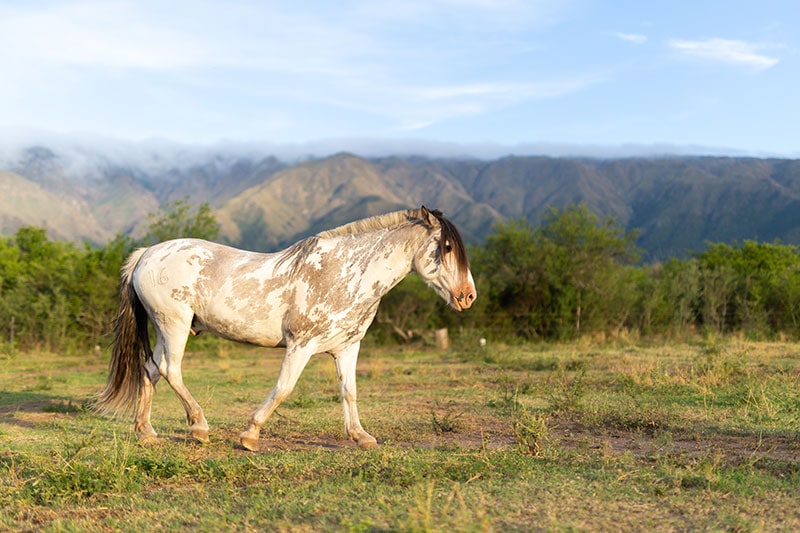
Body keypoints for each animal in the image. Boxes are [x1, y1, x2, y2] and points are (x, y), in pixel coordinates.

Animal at [95, 206, 476, 451]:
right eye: (445, 247)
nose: (468, 296)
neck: (344, 274)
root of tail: (147, 253)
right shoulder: (300, 346)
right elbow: (283, 389)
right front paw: (250, 435)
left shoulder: (347, 348)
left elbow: (349, 392)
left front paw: (361, 437)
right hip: (173, 324)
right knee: (170, 370)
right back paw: (199, 427)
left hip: (166, 328)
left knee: (150, 370)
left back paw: (146, 433)